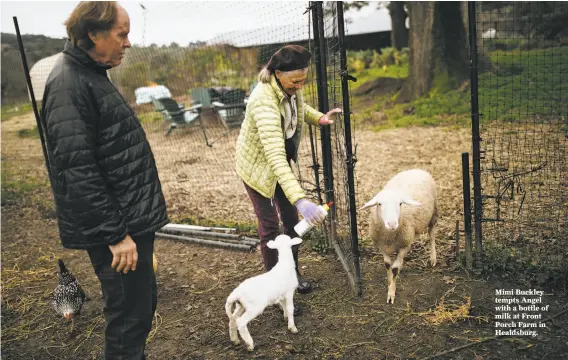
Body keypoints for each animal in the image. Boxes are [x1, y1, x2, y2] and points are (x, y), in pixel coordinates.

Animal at [360, 169, 440, 304]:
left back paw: (433, 258)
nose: (392, 223)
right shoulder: (381, 246)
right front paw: (389, 282)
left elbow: (395, 268)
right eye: (379, 204)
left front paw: (391, 293)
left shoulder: (404, 245)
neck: (389, 236)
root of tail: (416, 169)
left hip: (433, 213)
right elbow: (387, 265)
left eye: (400, 203)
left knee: (432, 235)